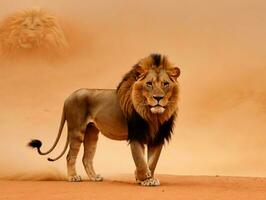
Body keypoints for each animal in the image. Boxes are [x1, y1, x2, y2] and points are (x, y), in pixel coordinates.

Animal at [28, 54, 181, 186]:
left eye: (165, 84)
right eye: (149, 84)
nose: (158, 98)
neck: (153, 116)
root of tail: (68, 97)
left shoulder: (158, 138)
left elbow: (152, 162)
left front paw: (144, 178)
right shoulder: (135, 136)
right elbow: (141, 161)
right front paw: (145, 179)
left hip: (91, 133)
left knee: (86, 158)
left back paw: (94, 177)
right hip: (77, 130)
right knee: (70, 156)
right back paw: (73, 177)